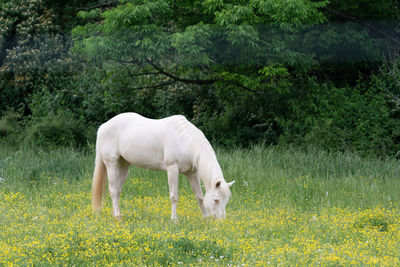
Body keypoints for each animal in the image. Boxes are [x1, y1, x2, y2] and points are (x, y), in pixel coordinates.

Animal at [92, 112, 233, 221]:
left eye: (226, 200)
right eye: (216, 200)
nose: (222, 221)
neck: (185, 141)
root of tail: (103, 126)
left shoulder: (192, 173)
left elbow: (199, 196)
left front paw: (205, 218)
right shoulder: (172, 169)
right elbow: (174, 197)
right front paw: (174, 219)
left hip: (123, 165)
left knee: (117, 190)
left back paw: (115, 215)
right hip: (111, 164)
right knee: (113, 190)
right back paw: (118, 217)